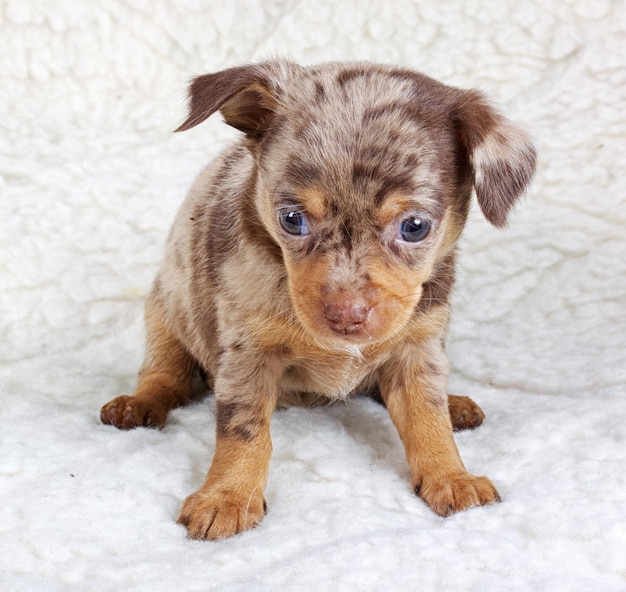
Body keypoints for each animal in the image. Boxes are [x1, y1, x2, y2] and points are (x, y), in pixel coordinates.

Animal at [100, 59, 532, 536]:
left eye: (415, 227)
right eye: (292, 220)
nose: (346, 316)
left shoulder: (419, 347)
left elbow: (427, 416)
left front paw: (451, 476)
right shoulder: (247, 355)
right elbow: (243, 431)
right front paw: (227, 496)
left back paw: (455, 405)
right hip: (165, 314)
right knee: (165, 376)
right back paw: (138, 403)